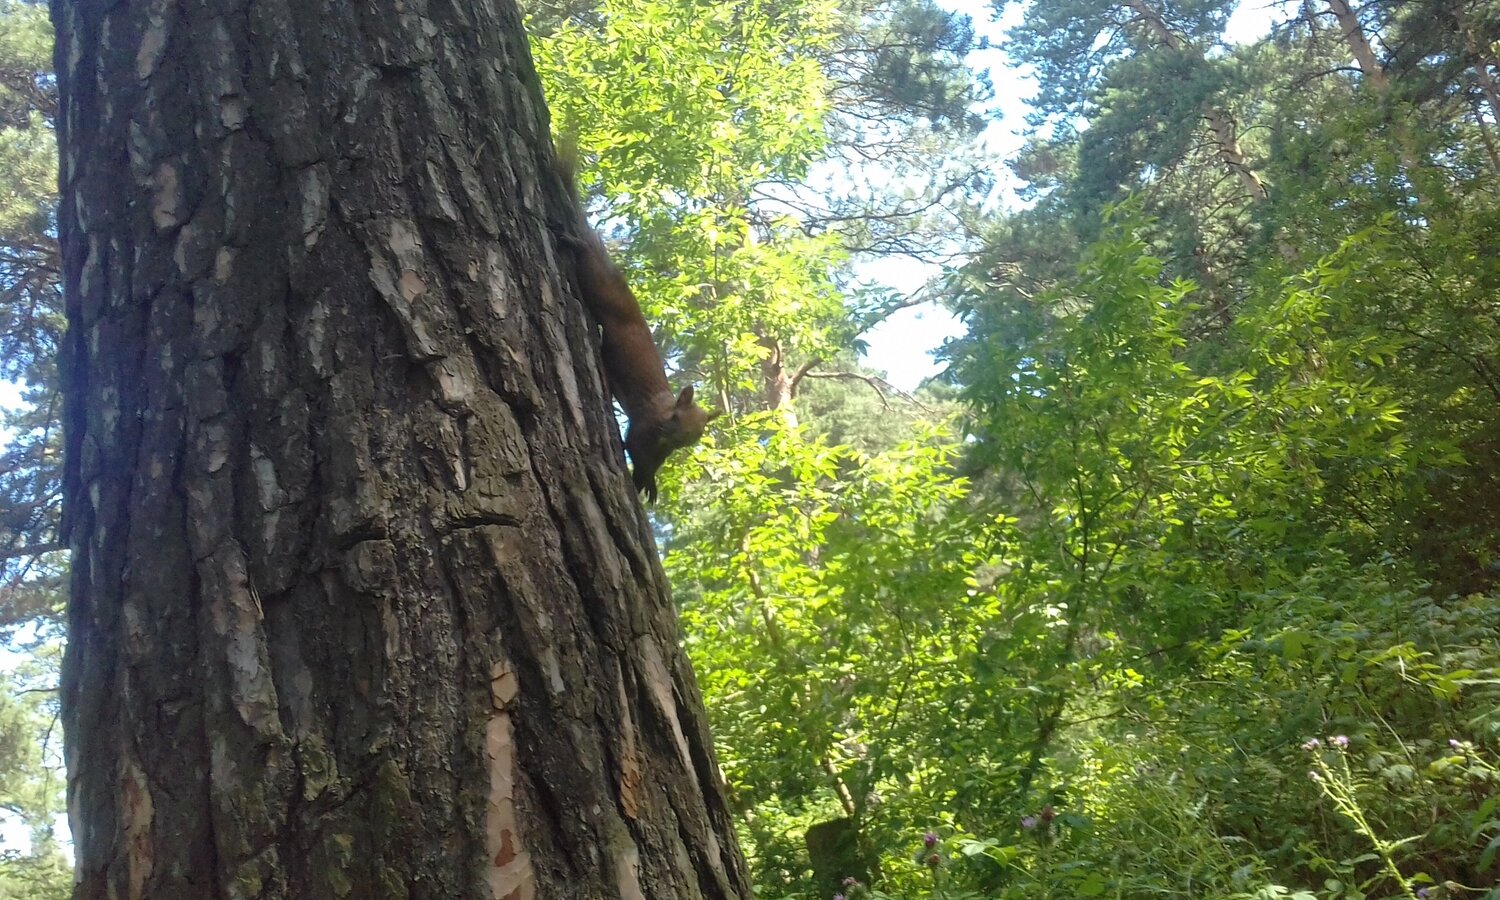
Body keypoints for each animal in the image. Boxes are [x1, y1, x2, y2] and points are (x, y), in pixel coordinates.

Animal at [552, 143, 718, 503]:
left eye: (697, 433)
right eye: (676, 415)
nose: (674, 436)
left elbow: (652, 463)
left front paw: (650, 482)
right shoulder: (643, 428)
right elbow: (634, 450)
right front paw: (642, 479)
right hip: (599, 287)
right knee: (586, 258)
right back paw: (573, 242)